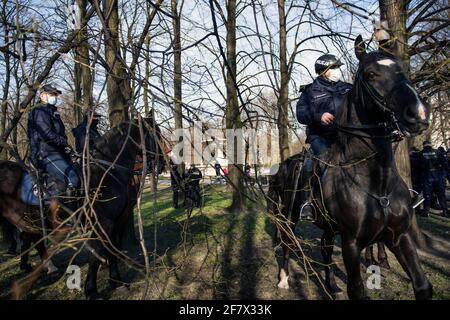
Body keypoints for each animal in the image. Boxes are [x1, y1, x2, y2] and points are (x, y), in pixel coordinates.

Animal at [268, 37, 430, 300]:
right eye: (371, 74)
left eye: (402, 70)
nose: (420, 113)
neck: (377, 182)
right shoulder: (351, 242)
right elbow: (356, 289)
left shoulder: (400, 236)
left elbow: (422, 284)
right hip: (289, 215)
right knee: (286, 241)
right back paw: (283, 279)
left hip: (327, 225)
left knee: (324, 247)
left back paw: (332, 286)